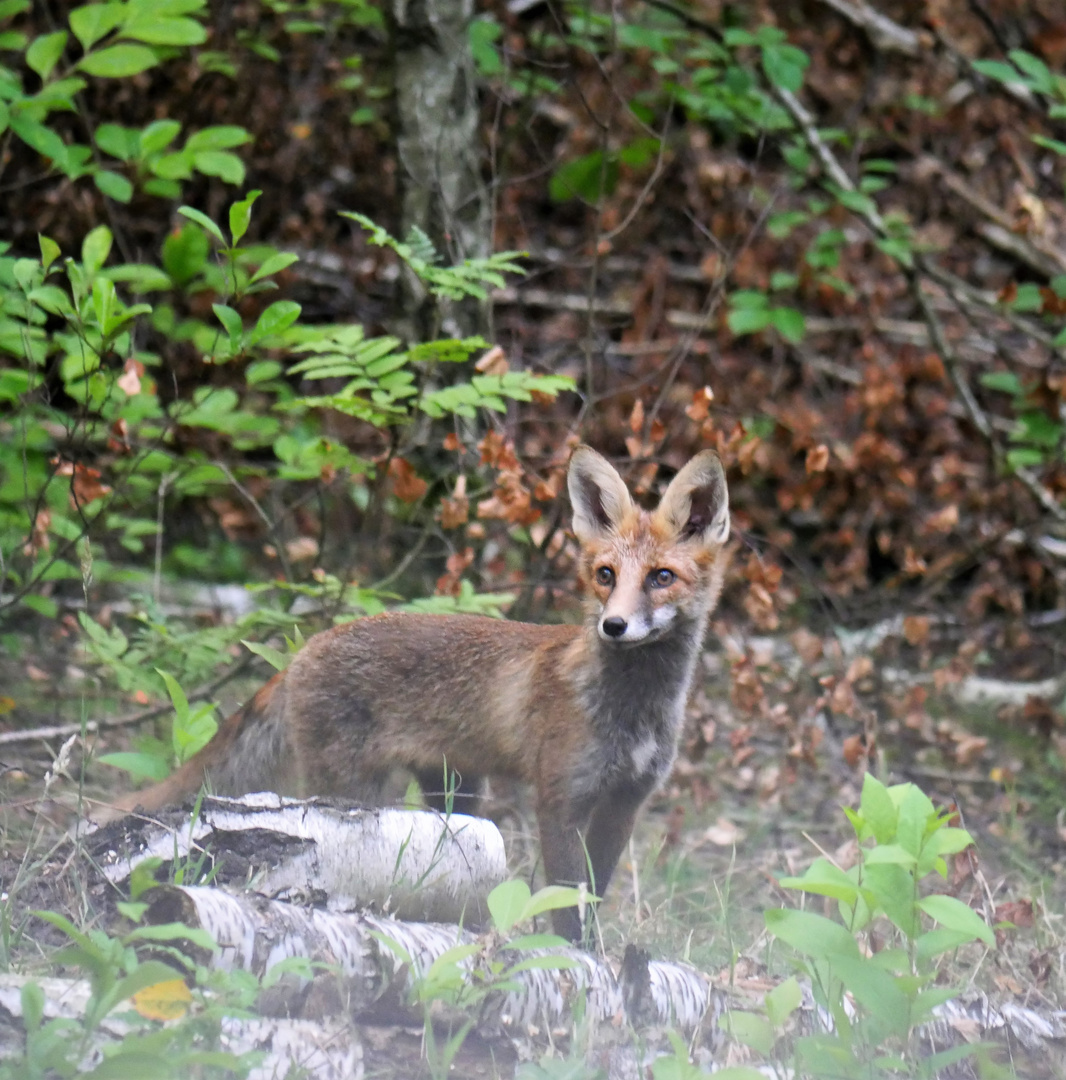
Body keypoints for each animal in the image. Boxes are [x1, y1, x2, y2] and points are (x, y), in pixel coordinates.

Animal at [99, 444, 730, 937]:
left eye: (661, 578)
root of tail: (307, 647)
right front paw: (577, 967)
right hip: (353, 795)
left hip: (458, 796)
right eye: (605, 575)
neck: (635, 712)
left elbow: (593, 899)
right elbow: (566, 908)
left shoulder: (625, 803)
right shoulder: (561, 799)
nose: (613, 626)